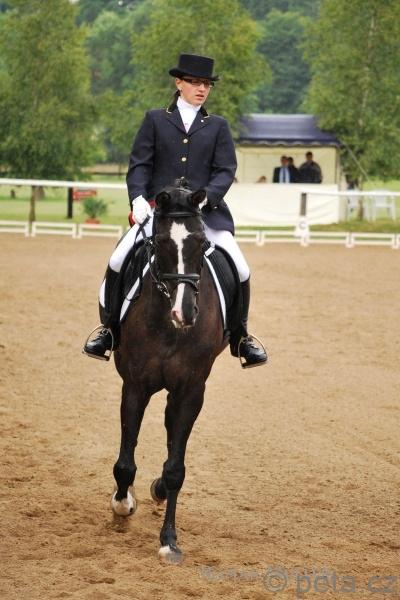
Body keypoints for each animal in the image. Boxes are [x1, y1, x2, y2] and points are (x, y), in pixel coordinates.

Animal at [110, 181, 228, 563]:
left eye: (201, 243)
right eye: (160, 242)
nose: (184, 312)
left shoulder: (190, 391)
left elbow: (176, 468)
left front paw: (169, 541)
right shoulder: (134, 386)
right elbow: (125, 462)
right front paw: (122, 504)